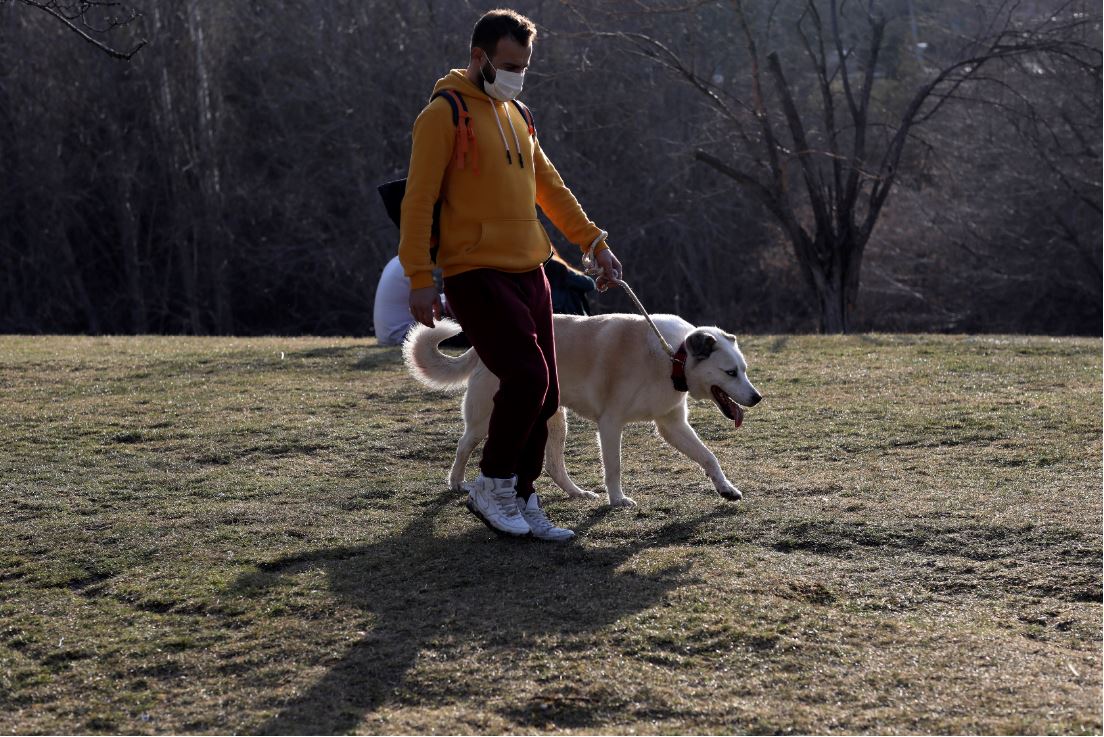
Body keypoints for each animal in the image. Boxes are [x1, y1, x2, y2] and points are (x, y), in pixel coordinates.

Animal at [404, 313, 759, 509]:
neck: (672, 356)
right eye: (730, 373)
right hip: (489, 419)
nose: (757, 398)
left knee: (553, 466)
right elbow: (614, 467)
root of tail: (484, 347)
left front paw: (726, 489)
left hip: (554, 420)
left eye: (743, 370)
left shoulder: (672, 426)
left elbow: (709, 457)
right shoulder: (610, 424)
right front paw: (617, 501)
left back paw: (577, 493)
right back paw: (456, 483)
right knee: (464, 445)